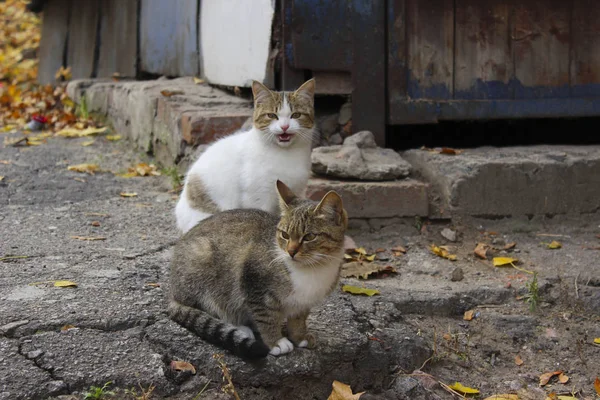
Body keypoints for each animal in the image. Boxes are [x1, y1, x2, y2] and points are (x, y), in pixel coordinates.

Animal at [169, 180, 346, 358]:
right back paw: (241, 328)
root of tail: (172, 293)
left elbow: (298, 319)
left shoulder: (304, 302)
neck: (312, 269)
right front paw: (276, 342)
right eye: (285, 235)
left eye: (309, 236)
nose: (291, 252)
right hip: (203, 263)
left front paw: (299, 336)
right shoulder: (254, 283)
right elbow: (266, 317)